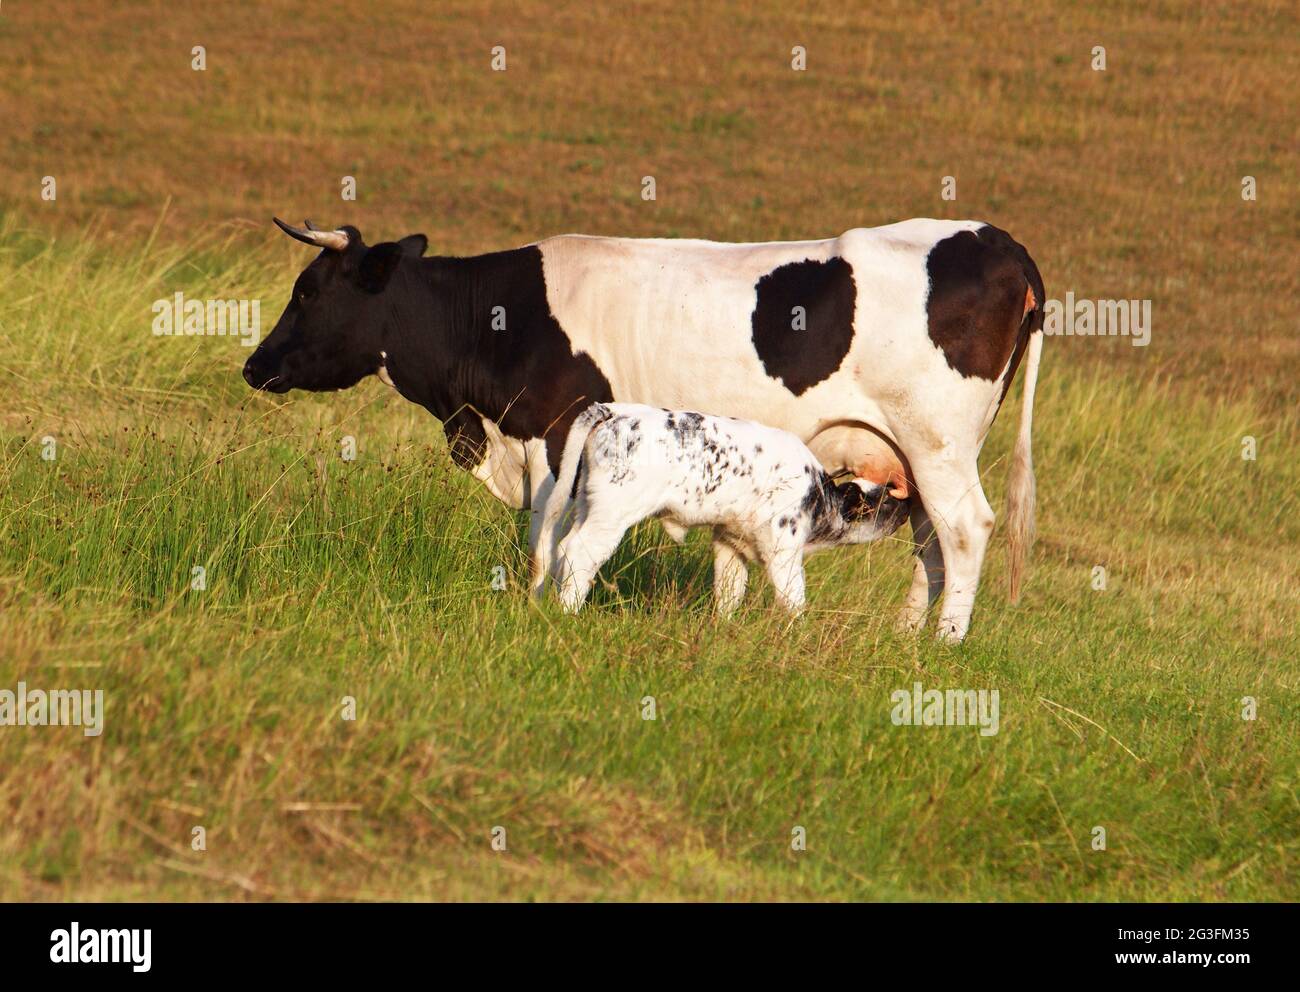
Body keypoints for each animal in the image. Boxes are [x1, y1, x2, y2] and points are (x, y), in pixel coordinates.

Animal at [539, 402, 911, 615]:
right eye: (880, 500)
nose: (906, 505)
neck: (818, 495)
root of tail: (615, 410)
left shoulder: (730, 542)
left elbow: (730, 591)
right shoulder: (784, 547)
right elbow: (792, 597)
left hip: (588, 503)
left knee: (563, 547)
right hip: (613, 513)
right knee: (581, 552)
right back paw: (569, 611)